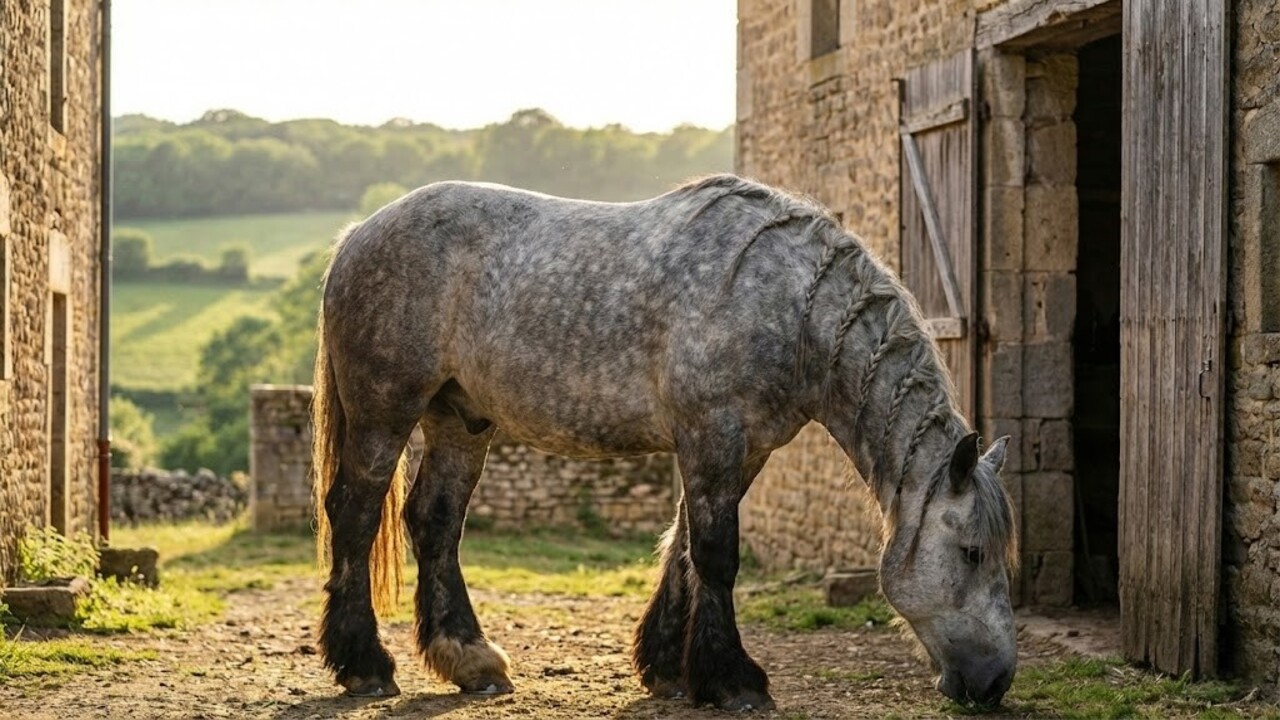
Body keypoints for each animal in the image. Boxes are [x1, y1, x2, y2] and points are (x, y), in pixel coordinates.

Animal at [310, 174, 1018, 711]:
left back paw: (470, 661)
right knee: (355, 515)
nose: (994, 682)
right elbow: (716, 554)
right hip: (384, 413)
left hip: (459, 421)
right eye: (972, 552)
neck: (789, 306)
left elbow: (682, 545)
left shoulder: (742, 449)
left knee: (434, 523)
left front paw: (669, 669)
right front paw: (733, 681)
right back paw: (364, 665)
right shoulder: (711, 434)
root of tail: (357, 235)